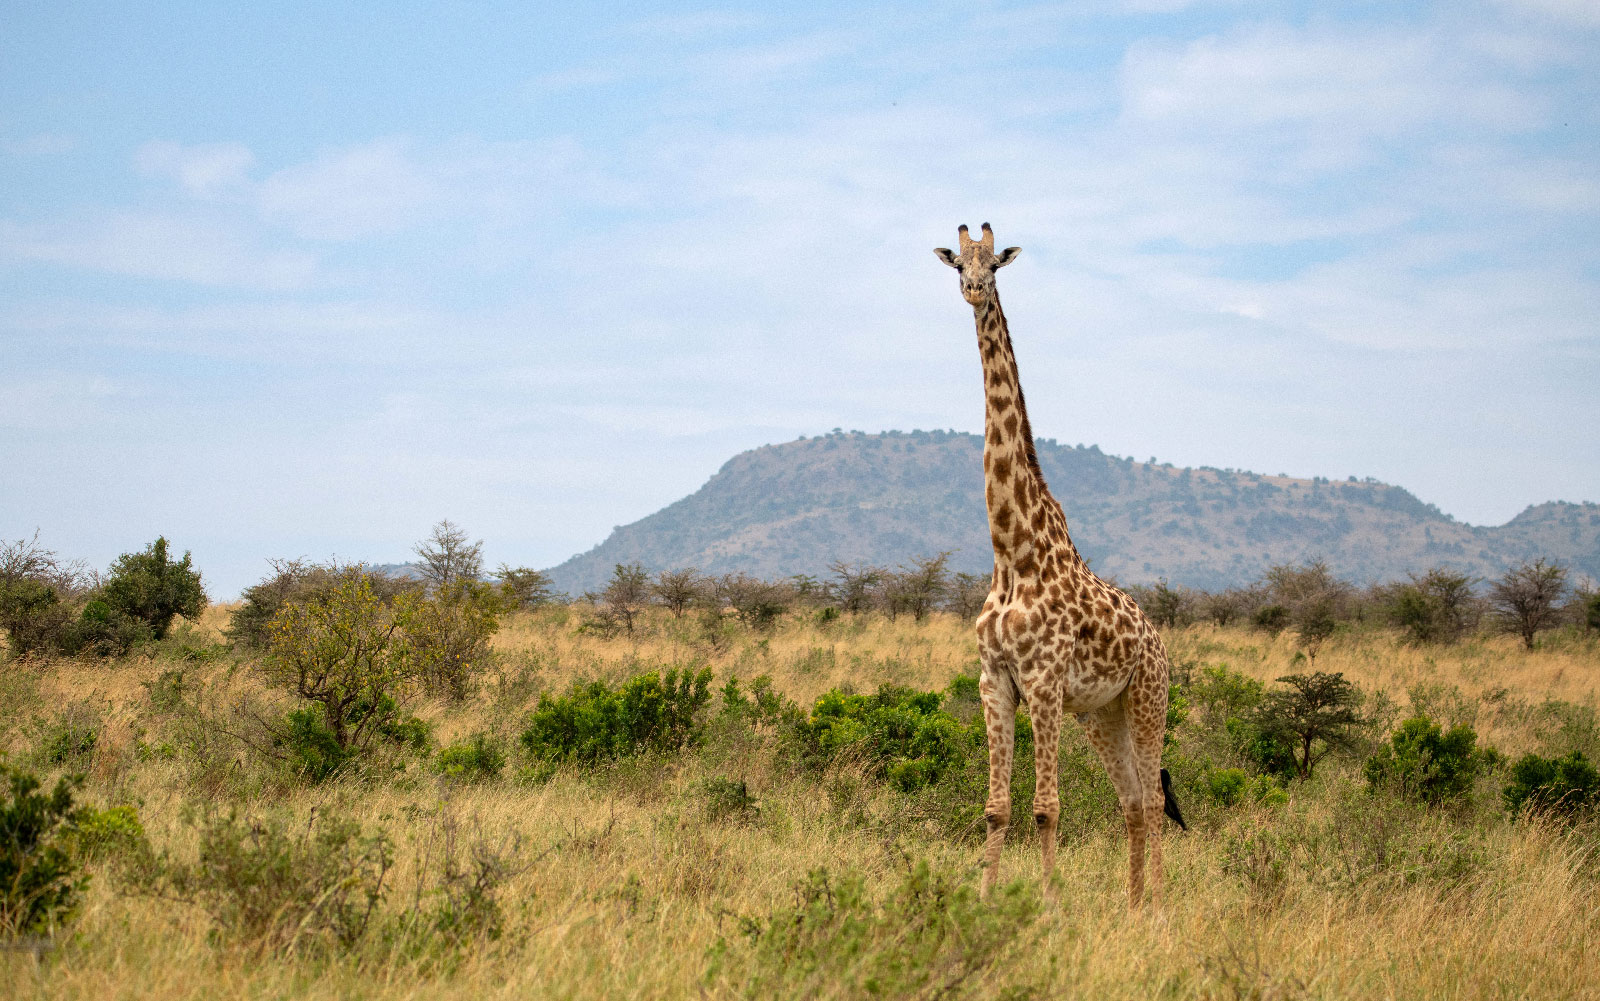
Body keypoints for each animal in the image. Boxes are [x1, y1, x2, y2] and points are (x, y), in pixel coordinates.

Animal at [934, 222, 1184, 908]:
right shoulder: (995, 680)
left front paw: (1046, 905)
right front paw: (984, 899)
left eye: (994, 263)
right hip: (1103, 715)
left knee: (1155, 799)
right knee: (1132, 800)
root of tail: (1159, 641)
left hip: (1149, 698)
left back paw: (1158, 905)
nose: (973, 289)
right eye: (956, 263)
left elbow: (1046, 807)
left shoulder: (1043, 680)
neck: (1011, 555)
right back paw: (1132, 904)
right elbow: (996, 807)